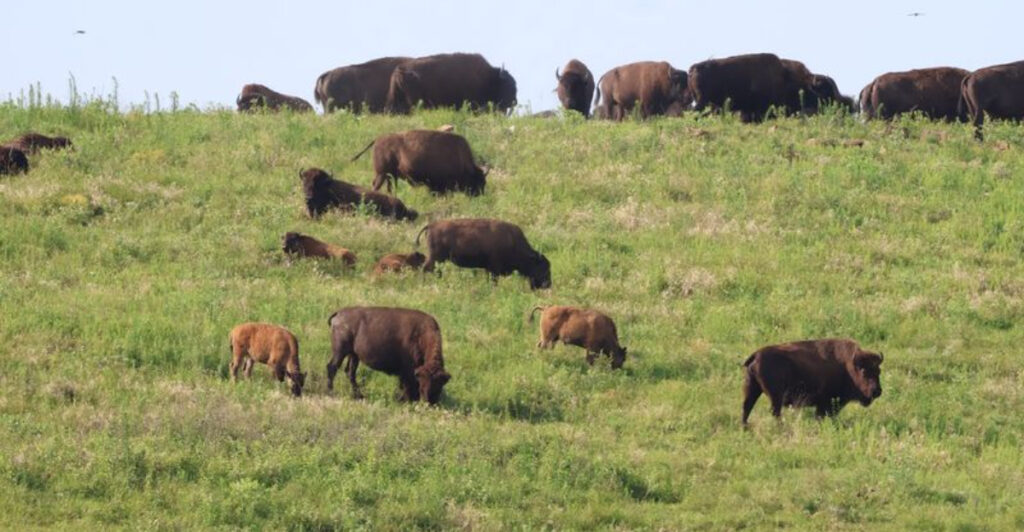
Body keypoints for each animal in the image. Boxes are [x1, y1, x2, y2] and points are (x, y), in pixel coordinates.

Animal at [349, 130, 487, 196]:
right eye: (479, 181)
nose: (479, 194)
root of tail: (378, 139)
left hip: (388, 175)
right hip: (381, 174)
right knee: (376, 186)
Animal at [416, 218, 551, 290]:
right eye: (543, 268)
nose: (548, 285)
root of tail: (431, 225)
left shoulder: (489, 269)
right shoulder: (494, 269)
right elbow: (494, 281)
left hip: (439, 259)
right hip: (436, 258)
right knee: (426, 268)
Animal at [741, 338, 883, 425]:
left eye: (878, 371)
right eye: (864, 371)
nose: (877, 391)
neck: (847, 366)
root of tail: (756, 354)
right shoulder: (824, 403)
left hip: (752, 389)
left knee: (747, 407)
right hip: (775, 397)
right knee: (774, 412)